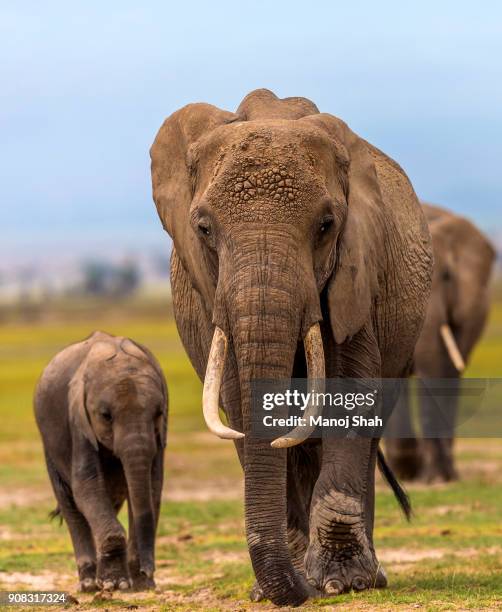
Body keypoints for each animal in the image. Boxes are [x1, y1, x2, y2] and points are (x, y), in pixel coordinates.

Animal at [35, 332, 169, 592]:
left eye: (158, 413)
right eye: (106, 416)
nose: (146, 572)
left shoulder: (160, 435)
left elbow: (153, 485)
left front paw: (139, 584)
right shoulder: (78, 423)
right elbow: (86, 487)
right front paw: (115, 584)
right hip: (49, 446)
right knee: (70, 503)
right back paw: (88, 584)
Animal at [149, 87, 432, 608]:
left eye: (326, 225)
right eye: (203, 229)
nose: (304, 590)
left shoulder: (356, 271)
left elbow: (351, 390)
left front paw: (340, 583)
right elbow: (240, 400)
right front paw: (285, 586)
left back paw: (366, 576)